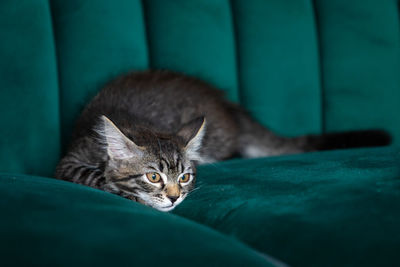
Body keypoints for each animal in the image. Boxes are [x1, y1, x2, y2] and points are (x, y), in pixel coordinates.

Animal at [54, 70, 390, 213]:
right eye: (153, 177)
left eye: (184, 177)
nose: (175, 198)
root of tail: (230, 107)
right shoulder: (68, 162)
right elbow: (97, 177)